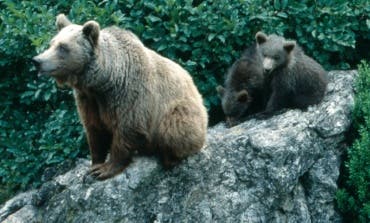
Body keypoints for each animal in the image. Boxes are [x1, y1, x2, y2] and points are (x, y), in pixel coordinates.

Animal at [32, 13, 208, 180]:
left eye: (63, 47)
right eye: (51, 43)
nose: (37, 60)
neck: (104, 80)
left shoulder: (129, 93)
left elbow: (127, 128)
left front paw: (104, 169)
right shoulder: (88, 100)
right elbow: (94, 130)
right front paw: (93, 166)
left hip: (180, 111)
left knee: (174, 127)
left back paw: (168, 156)